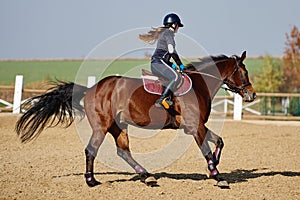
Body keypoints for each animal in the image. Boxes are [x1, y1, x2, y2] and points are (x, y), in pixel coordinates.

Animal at [15, 50, 255, 188]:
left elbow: (219, 141)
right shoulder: (195, 127)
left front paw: (215, 166)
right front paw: (216, 175)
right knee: (92, 150)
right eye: (243, 71)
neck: (198, 85)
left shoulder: (197, 126)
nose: (252, 95)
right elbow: (206, 149)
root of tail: (91, 88)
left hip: (118, 127)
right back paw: (91, 181)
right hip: (102, 127)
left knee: (123, 152)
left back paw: (146, 176)